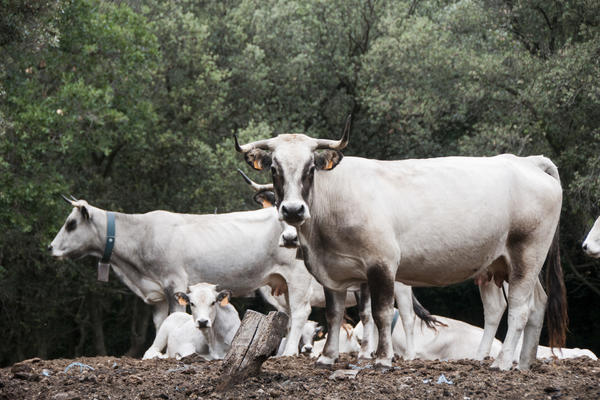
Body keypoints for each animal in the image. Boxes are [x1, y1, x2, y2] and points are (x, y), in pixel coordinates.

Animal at [48, 195, 312, 354]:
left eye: (71, 224)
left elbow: (176, 316)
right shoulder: (156, 294)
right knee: (290, 315)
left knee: (300, 313)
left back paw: (289, 353)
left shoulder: (174, 283)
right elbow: (160, 322)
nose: (50, 248)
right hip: (282, 285)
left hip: (297, 278)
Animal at [234, 117, 568, 370]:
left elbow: (381, 313)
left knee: (521, 308)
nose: (293, 210)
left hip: (526, 254)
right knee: (534, 304)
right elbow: (334, 313)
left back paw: (502, 363)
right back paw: (523, 363)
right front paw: (327, 358)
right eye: (274, 168)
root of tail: (526, 161)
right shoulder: (332, 271)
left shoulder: (381, 264)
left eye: (311, 168)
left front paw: (383, 359)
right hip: (503, 263)